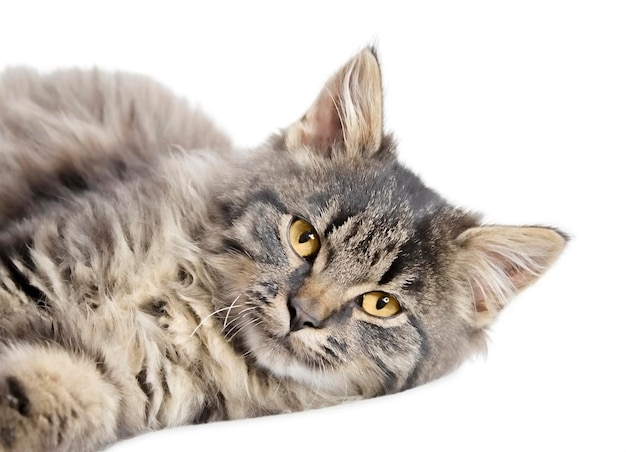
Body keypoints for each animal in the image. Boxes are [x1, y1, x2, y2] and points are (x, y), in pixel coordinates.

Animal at [0, 47, 564, 450]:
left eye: (381, 304)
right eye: (303, 237)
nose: (302, 314)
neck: (190, 312)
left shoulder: (105, 378)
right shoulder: (32, 259)